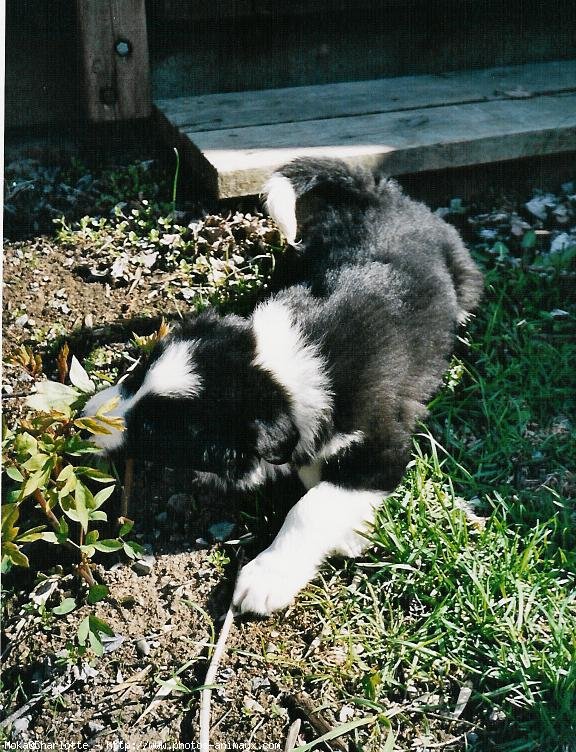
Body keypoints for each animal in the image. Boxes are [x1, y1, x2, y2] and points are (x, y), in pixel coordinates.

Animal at [84, 159, 482, 616]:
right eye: (135, 377)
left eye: (155, 429)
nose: (81, 422)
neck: (279, 369)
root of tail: (379, 196)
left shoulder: (382, 444)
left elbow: (313, 506)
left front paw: (266, 577)